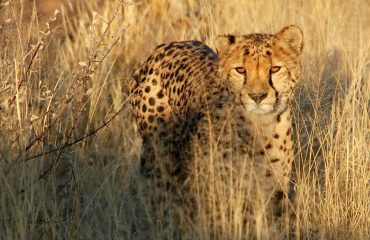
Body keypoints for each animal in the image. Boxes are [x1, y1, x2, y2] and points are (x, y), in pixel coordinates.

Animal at [130, 25, 304, 237]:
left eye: (275, 69)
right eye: (240, 70)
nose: (257, 96)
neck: (258, 128)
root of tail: (167, 45)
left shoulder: (271, 191)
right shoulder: (218, 194)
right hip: (159, 159)